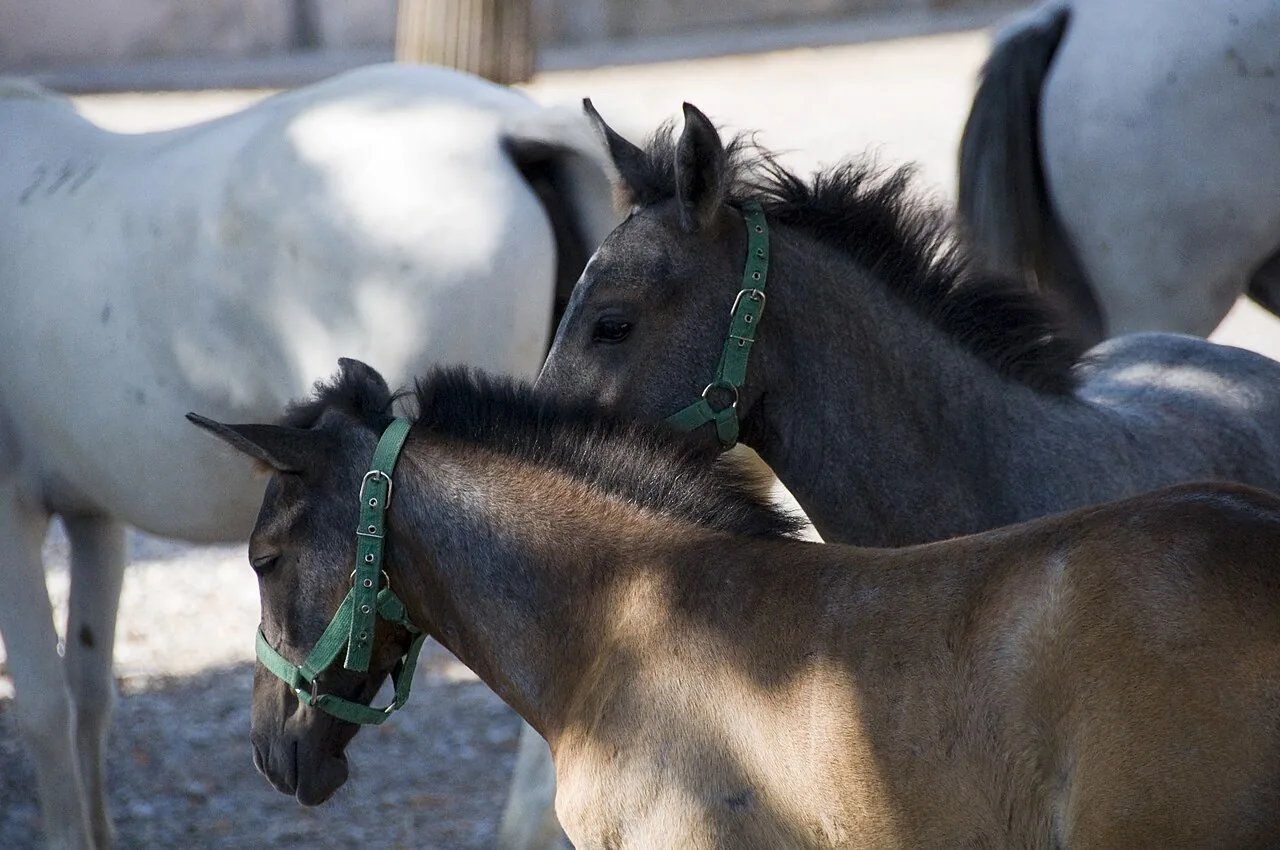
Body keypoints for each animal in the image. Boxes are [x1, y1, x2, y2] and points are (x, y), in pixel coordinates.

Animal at [0, 64, 617, 849]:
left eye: (264, 562)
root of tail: (516, 128)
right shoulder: (93, 514)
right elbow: (88, 693)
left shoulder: (10, 511)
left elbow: (43, 706)